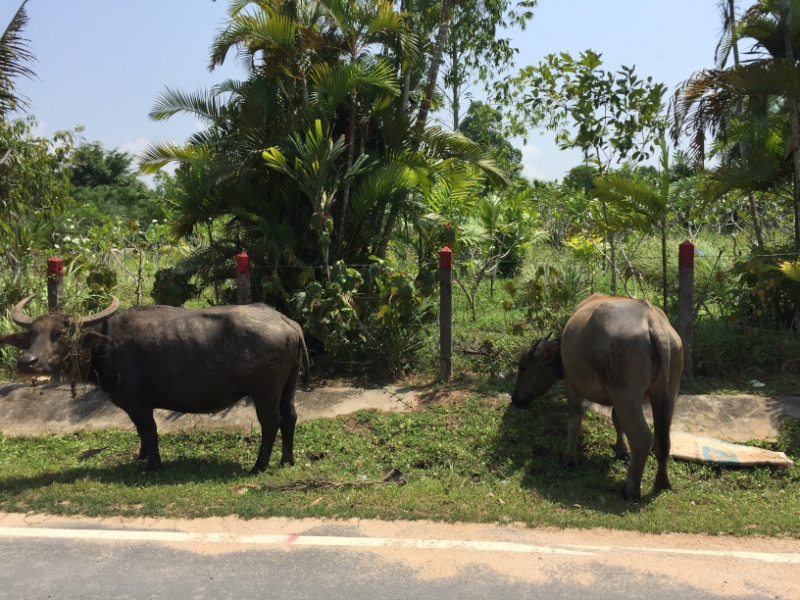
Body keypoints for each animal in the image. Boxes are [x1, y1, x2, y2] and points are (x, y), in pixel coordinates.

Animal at [0, 296, 310, 474]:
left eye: (61, 334)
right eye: (32, 334)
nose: (27, 361)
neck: (105, 344)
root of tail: (286, 321)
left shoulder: (137, 403)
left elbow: (149, 432)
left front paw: (153, 465)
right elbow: (142, 433)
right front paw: (141, 457)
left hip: (264, 390)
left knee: (271, 421)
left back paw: (259, 466)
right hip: (288, 386)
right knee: (291, 416)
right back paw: (287, 461)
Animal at [511, 293, 683, 499]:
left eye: (523, 367)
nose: (515, 399)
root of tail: (652, 320)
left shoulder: (571, 385)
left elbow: (574, 422)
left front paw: (569, 458)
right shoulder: (615, 399)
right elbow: (616, 421)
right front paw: (621, 450)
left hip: (627, 397)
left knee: (643, 438)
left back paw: (630, 490)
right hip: (667, 393)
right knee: (662, 440)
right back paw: (663, 483)